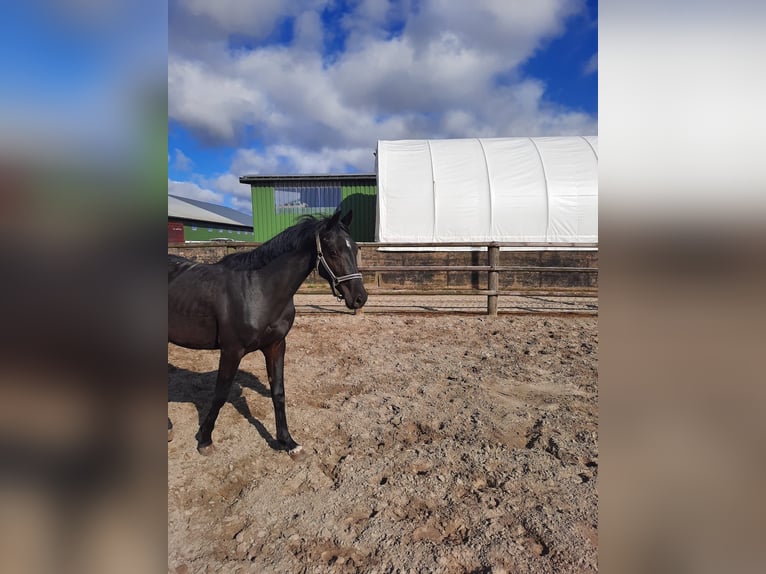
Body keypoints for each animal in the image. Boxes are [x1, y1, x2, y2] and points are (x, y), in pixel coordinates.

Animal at [168, 210, 367, 460]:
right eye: (332, 251)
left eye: (355, 249)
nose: (360, 298)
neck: (258, 289)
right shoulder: (231, 351)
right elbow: (220, 394)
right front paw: (205, 439)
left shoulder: (276, 345)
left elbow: (278, 392)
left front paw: (288, 442)